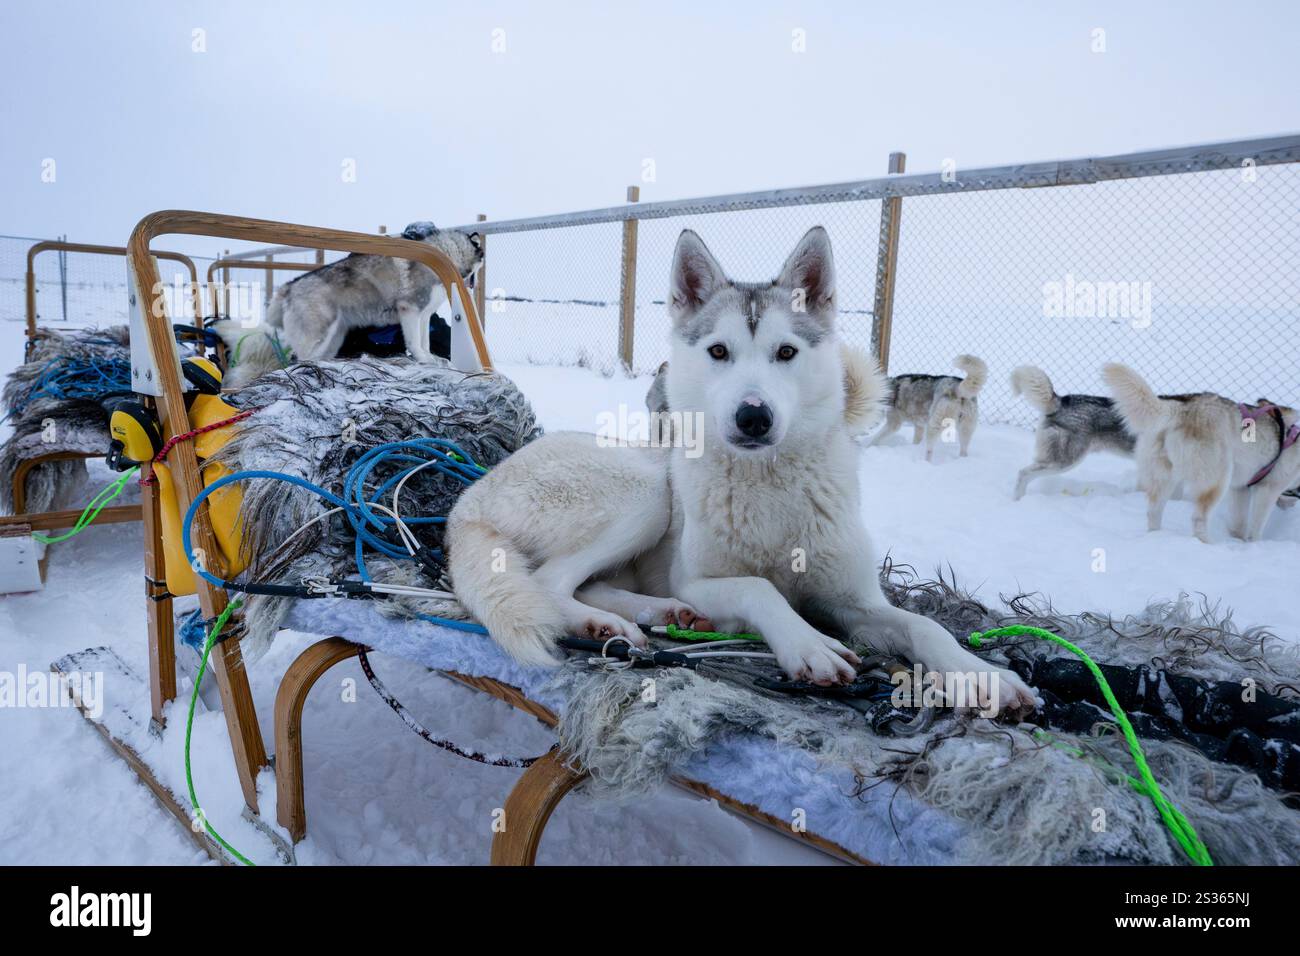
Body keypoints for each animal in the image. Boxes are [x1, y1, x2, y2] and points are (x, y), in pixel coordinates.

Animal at [213, 222, 483, 387]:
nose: (475, 284)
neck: (448, 252)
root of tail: (289, 287)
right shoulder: (410, 309)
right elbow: (415, 343)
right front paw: (423, 359)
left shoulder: (424, 315)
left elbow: (424, 342)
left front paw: (430, 358)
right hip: (318, 334)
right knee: (297, 359)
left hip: (333, 338)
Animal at [447, 227, 1034, 712]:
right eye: (719, 351)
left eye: (786, 352)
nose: (754, 416)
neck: (769, 486)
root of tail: (466, 503)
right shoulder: (701, 580)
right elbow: (760, 588)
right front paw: (809, 644)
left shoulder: (857, 603)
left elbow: (925, 626)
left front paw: (979, 674)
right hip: (646, 495)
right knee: (549, 582)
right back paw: (606, 622)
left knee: (587, 584)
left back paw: (656, 613)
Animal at [1102, 364, 1300, 546]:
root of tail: (1176, 409)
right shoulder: (1267, 490)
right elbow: (1256, 527)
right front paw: (1253, 545)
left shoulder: (1240, 488)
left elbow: (1238, 524)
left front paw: (1238, 541)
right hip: (1216, 481)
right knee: (1197, 518)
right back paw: (1207, 544)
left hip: (1164, 479)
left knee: (1153, 511)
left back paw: (1155, 537)